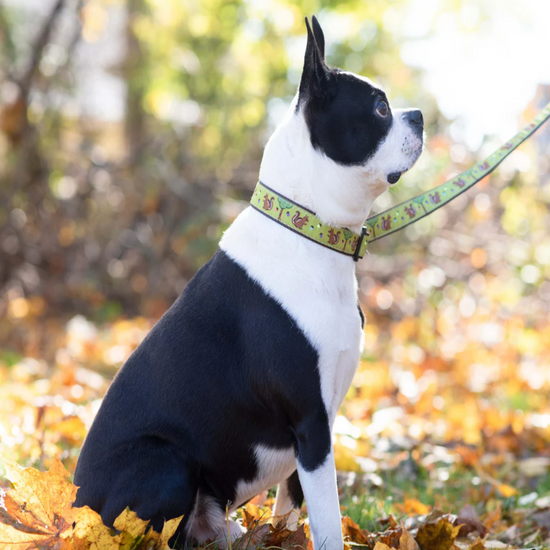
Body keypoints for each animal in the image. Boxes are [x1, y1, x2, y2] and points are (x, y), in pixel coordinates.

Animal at [74, 17, 426, 550]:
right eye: (380, 108)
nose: (420, 115)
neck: (312, 233)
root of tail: (75, 513)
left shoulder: (320, 427)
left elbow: (294, 506)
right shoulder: (312, 424)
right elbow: (327, 519)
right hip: (168, 463)